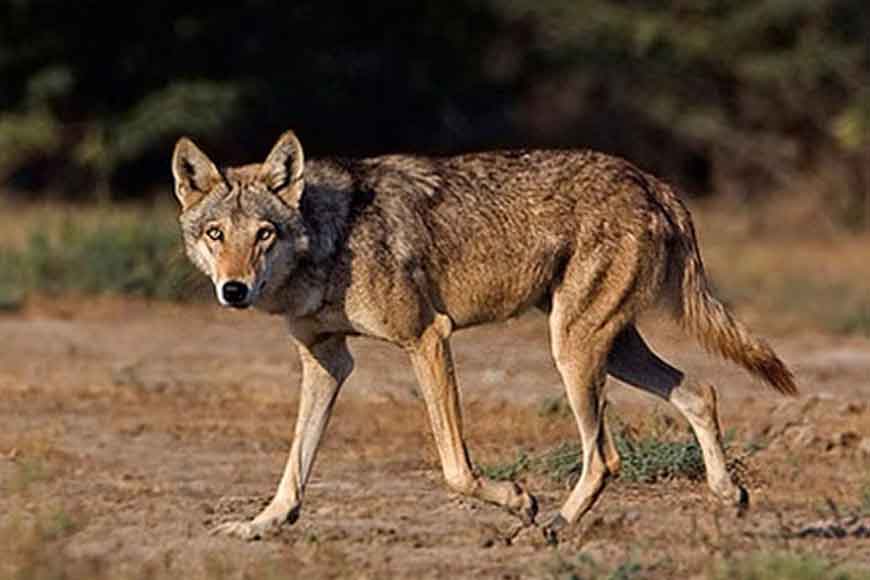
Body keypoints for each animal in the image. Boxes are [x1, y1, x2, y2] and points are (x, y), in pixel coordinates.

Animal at [171, 130, 796, 542]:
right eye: (215, 233)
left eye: (265, 234)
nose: (234, 289)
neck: (331, 237)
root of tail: (652, 181)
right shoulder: (326, 361)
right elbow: (296, 464)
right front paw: (263, 523)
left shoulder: (428, 338)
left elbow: (454, 468)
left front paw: (519, 499)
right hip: (607, 348)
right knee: (699, 391)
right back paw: (729, 495)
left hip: (573, 352)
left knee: (606, 456)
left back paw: (552, 524)